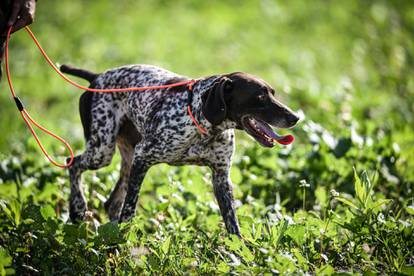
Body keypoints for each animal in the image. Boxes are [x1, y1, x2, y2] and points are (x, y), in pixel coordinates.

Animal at [61, 63, 300, 236]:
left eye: (273, 93)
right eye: (259, 98)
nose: (295, 117)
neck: (204, 125)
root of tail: (97, 77)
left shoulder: (221, 178)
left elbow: (233, 224)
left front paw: (239, 255)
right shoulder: (143, 158)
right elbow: (129, 209)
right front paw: (123, 240)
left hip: (125, 160)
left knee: (111, 203)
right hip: (102, 151)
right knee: (72, 164)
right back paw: (77, 208)